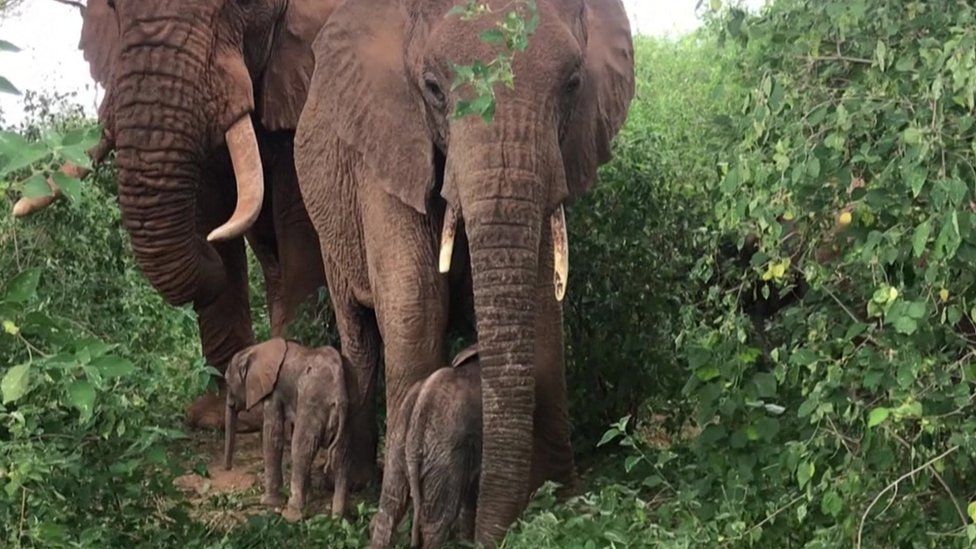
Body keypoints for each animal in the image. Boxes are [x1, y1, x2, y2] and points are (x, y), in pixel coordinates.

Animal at [11, 0, 340, 428]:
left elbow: (298, 216)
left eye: (244, 4)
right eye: (112, 7)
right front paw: (222, 416)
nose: (207, 247)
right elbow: (210, 203)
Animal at [225, 336, 350, 520]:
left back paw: (292, 513)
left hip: (313, 400)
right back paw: (338, 518)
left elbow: (273, 434)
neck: (254, 349)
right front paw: (309, 497)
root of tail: (338, 391)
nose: (227, 468)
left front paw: (269, 503)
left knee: (301, 449)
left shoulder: (274, 391)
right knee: (342, 454)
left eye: (227, 381)